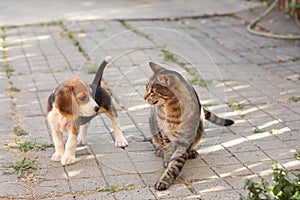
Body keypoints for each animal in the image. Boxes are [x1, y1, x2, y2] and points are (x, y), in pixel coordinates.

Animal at [144, 61, 234, 190]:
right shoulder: (165, 134)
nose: (144, 97)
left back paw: (191, 152)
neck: (171, 110)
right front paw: (166, 160)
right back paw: (159, 150)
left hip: (200, 127)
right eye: (146, 88)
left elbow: (174, 165)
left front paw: (164, 180)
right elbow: (168, 151)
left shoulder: (183, 141)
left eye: (152, 91)